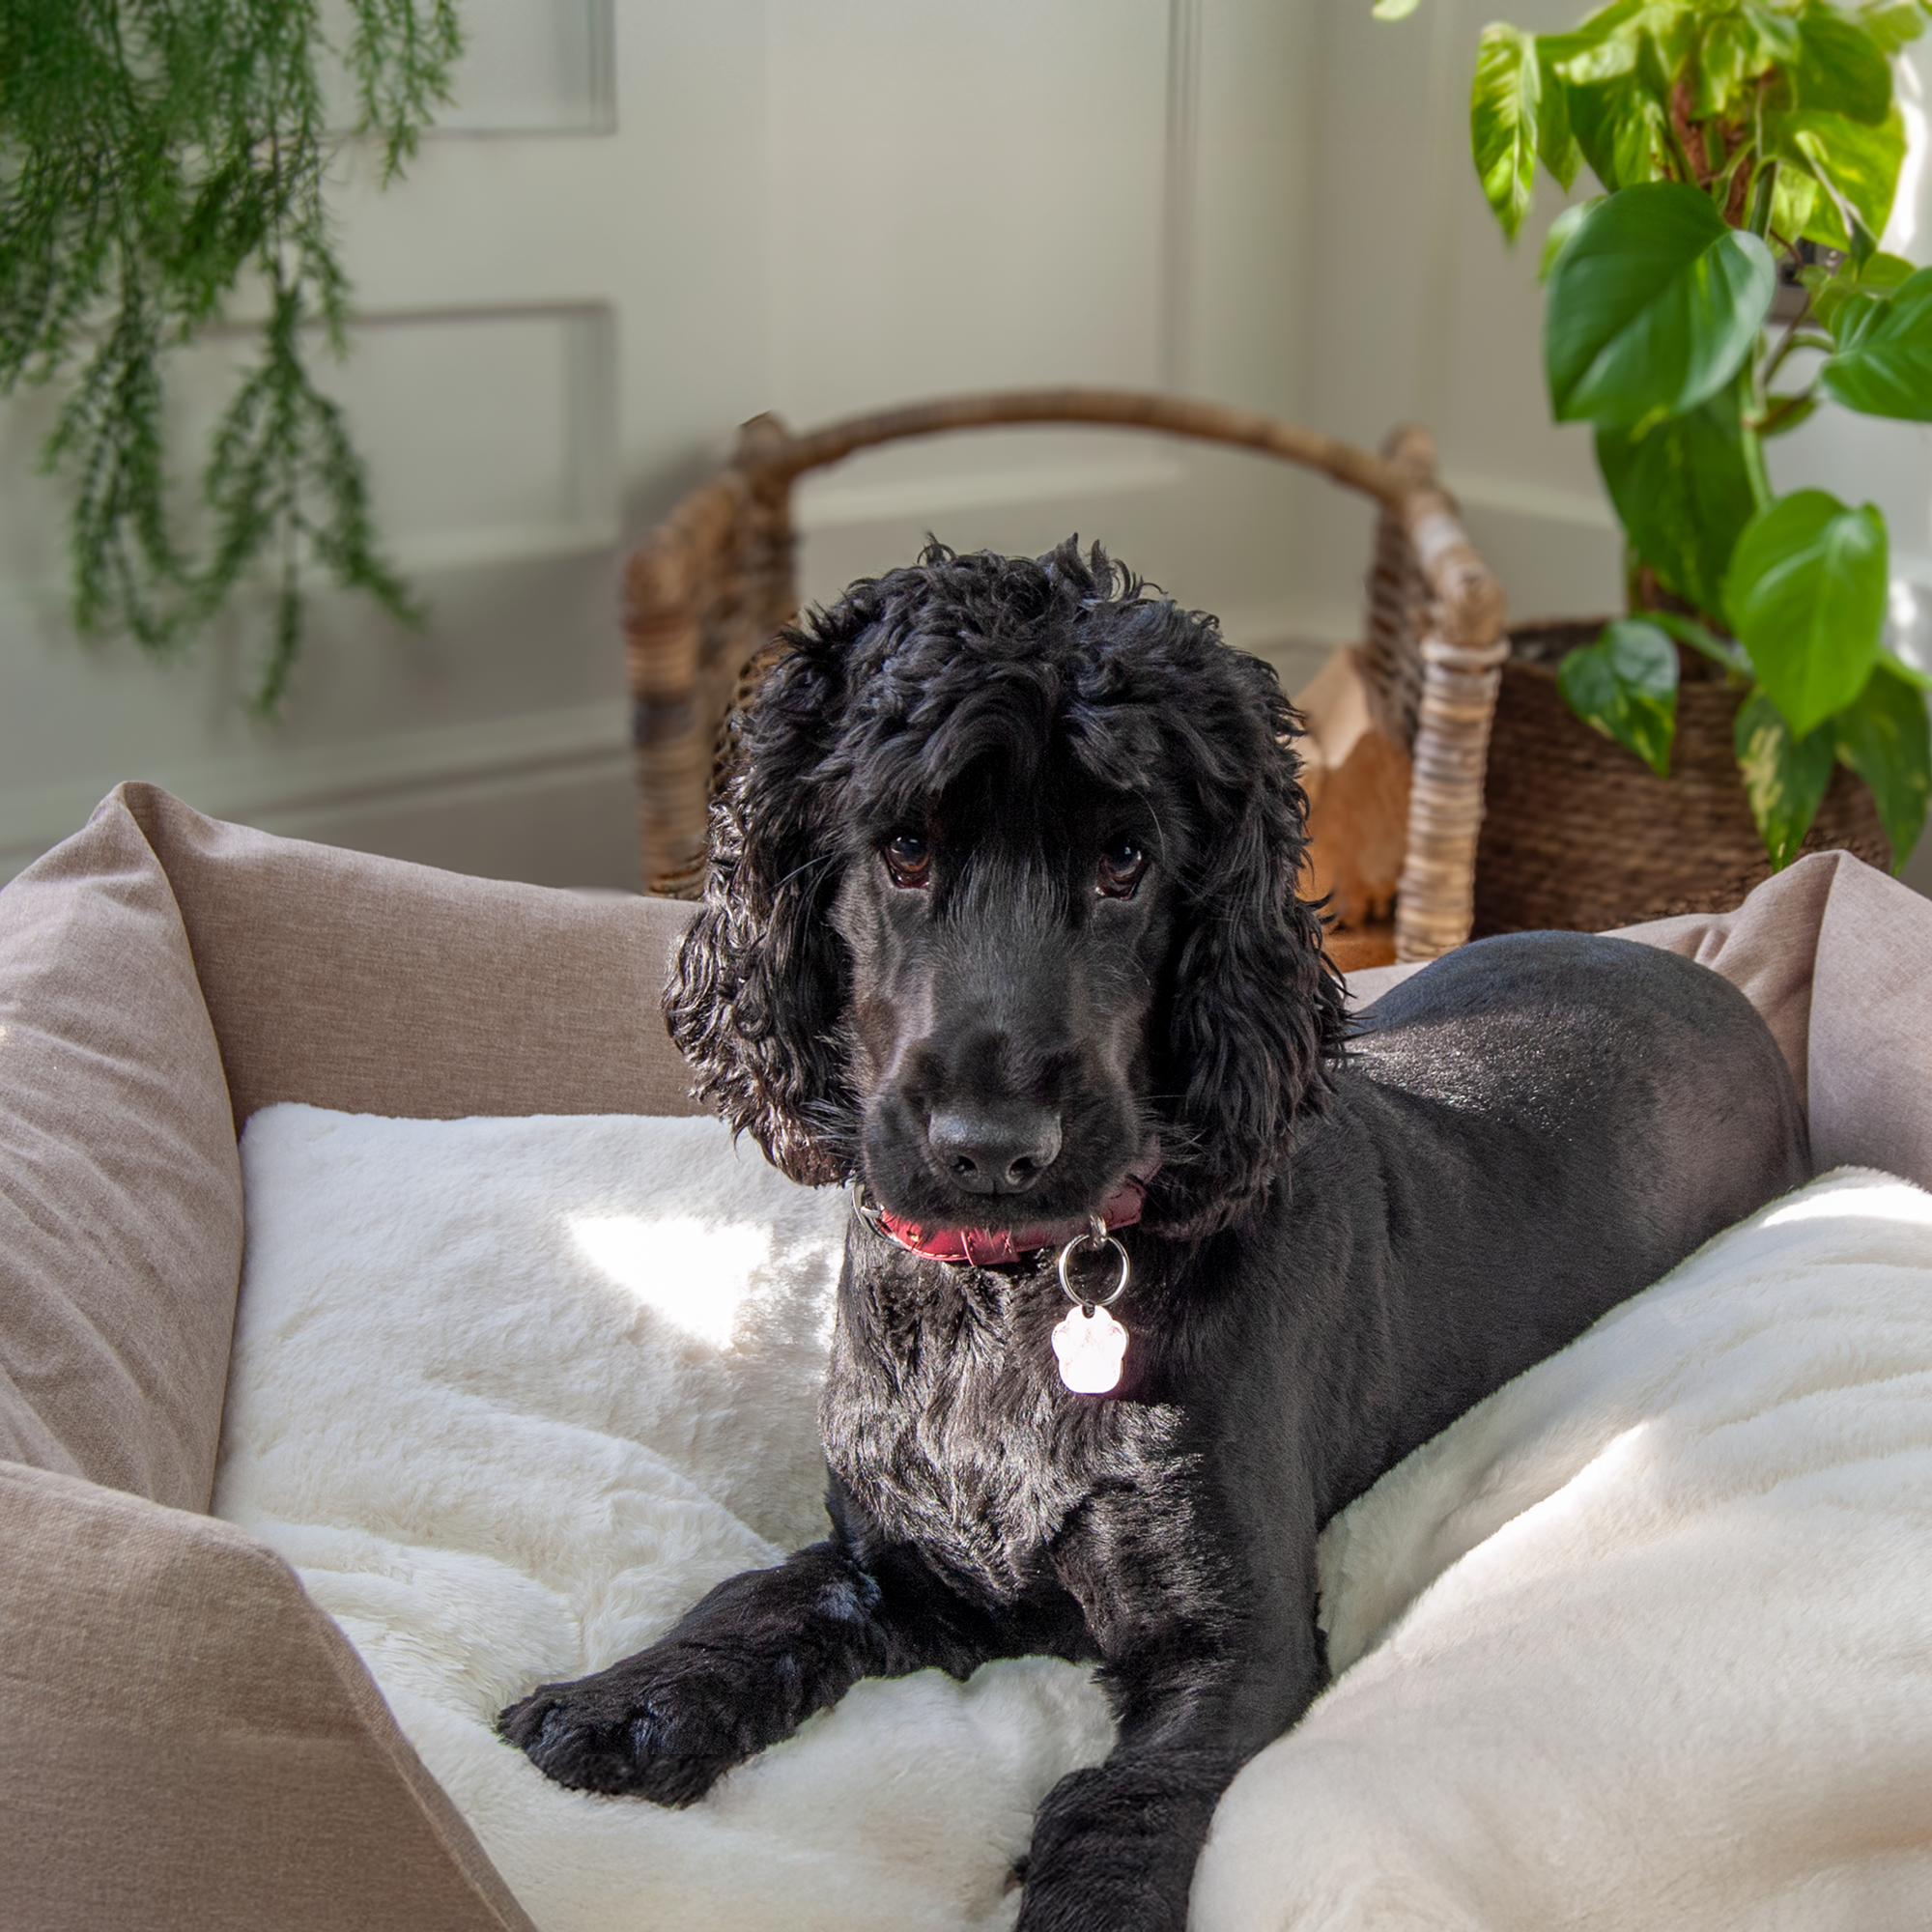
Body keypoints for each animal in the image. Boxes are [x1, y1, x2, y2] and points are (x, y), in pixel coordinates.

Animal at [502, 541, 1808, 1932]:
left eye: (1126, 858)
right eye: (903, 845)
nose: (991, 1144)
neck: (1009, 1298)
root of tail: (1719, 981)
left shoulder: (1234, 1642)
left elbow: (1115, 1811)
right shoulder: (907, 1565)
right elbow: (759, 1598)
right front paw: (617, 1702)